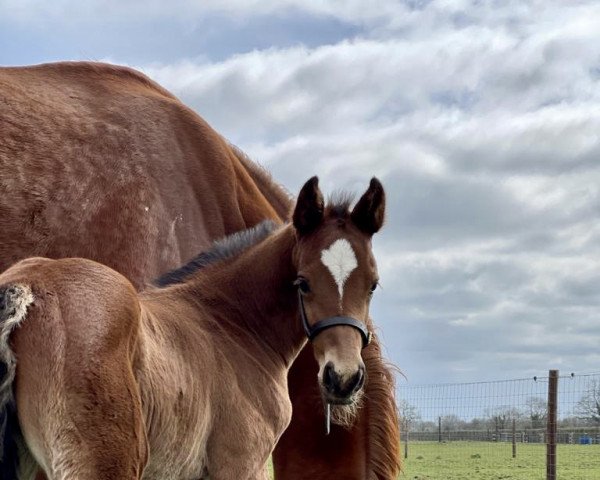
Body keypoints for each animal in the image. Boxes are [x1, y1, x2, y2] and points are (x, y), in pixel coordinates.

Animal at [1, 62, 404, 478]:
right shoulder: (240, 462)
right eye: (302, 283)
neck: (230, 321)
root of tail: (25, 290)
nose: (344, 379)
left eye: (373, 285)